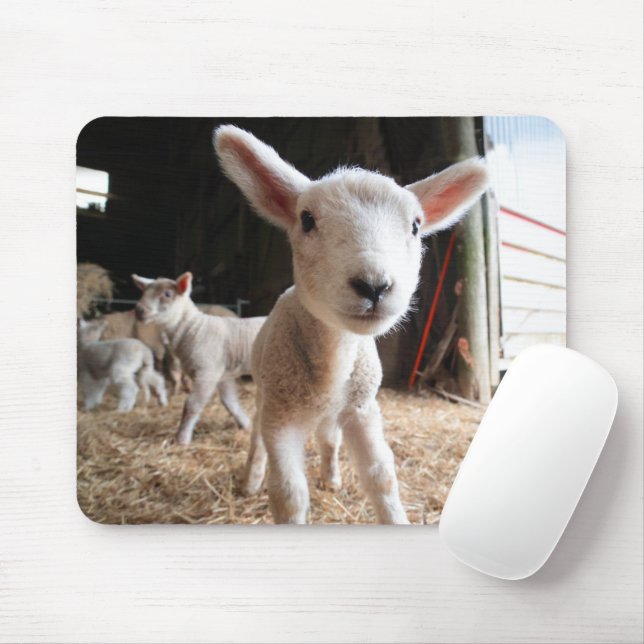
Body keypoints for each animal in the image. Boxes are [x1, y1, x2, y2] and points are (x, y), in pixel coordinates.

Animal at [131, 273, 266, 445]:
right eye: (144, 292)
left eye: (167, 294)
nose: (139, 310)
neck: (194, 328)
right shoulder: (223, 375)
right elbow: (229, 402)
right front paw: (246, 424)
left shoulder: (207, 372)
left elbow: (192, 405)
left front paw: (182, 438)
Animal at [214, 125, 489, 524]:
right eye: (307, 219)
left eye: (416, 225)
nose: (374, 285)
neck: (334, 361)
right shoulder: (281, 418)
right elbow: (289, 494)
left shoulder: (362, 409)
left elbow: (381, 476)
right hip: (267, 394)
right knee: (257, 439)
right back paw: (251, 479)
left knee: (329, 439)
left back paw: (330, 477)